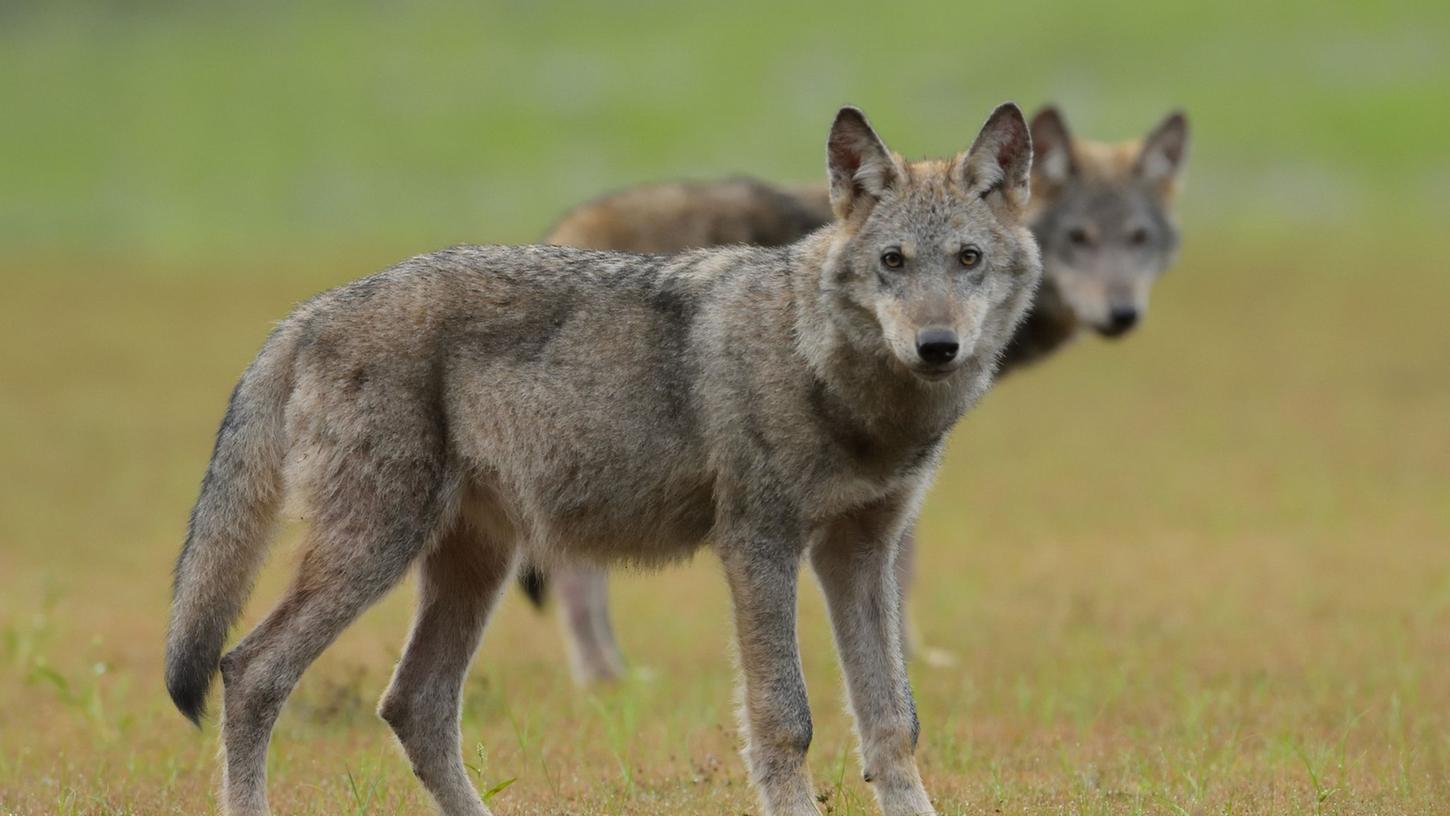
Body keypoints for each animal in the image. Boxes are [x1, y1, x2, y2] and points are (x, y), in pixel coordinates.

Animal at [166, 103, 1044, 816]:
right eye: (894, 262)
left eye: (967, 260)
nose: (938, 346)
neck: (830, 375)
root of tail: (307, 313)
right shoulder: (759, 547)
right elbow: (785, 720)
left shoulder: (859, 554)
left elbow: (894, 722)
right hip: (376, 552)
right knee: (250, 671)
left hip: (471, 566)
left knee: (414, 705)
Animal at [522, 105, 1189, 687]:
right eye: (1080, 238)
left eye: (1137, 239)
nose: (1122, 315)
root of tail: (565, 226)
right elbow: (904, 566)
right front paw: (914, 655)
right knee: (573, 574)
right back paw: (604, 679)